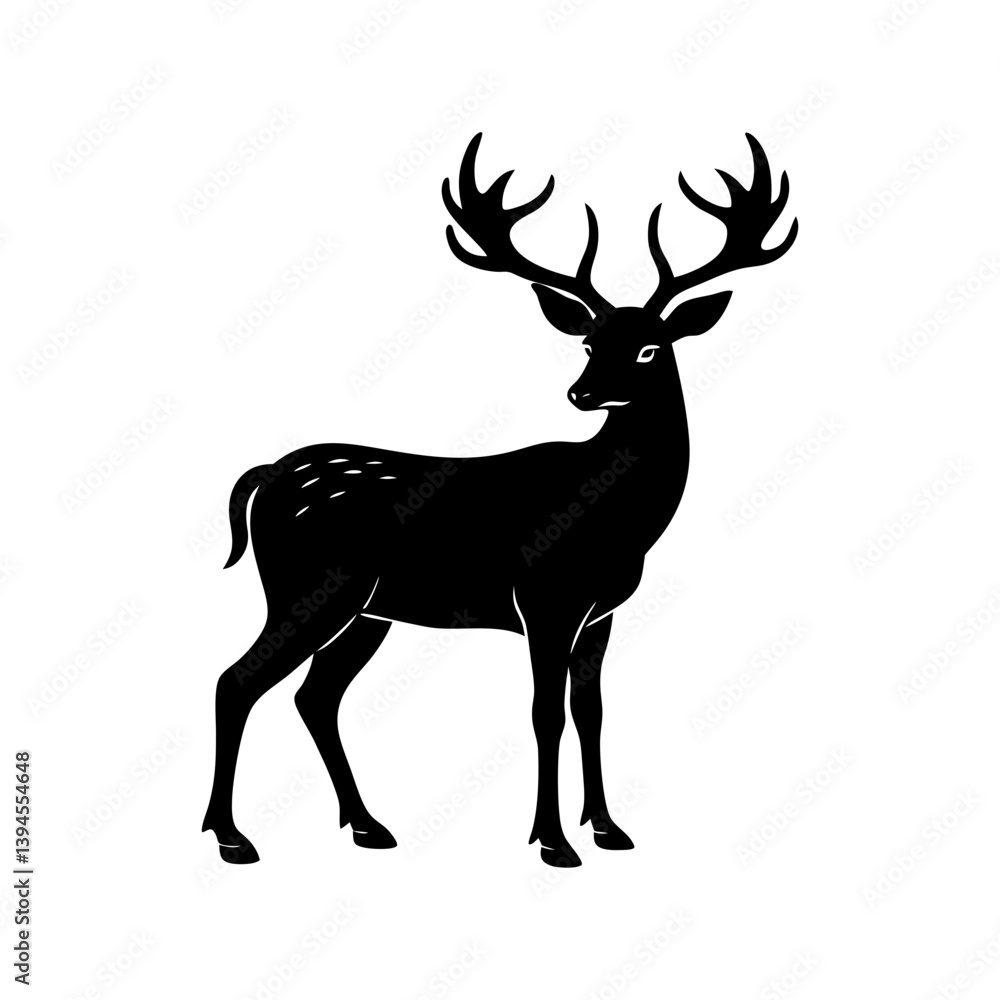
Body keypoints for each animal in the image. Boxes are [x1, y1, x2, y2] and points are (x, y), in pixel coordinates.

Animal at [202, 132, 797, 868]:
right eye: (589, 340)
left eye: (651, 348)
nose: (581, 393)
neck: (621, 522)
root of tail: (265, 476)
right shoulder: (545, 596)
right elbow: (545, 713)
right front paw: (553, 841)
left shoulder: (601, 612)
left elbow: (591, 711)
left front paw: (608, 828)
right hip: (308, 586)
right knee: (237, 680)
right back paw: (231, 837)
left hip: (366, 609)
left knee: (315, 697)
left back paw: (367, 825)